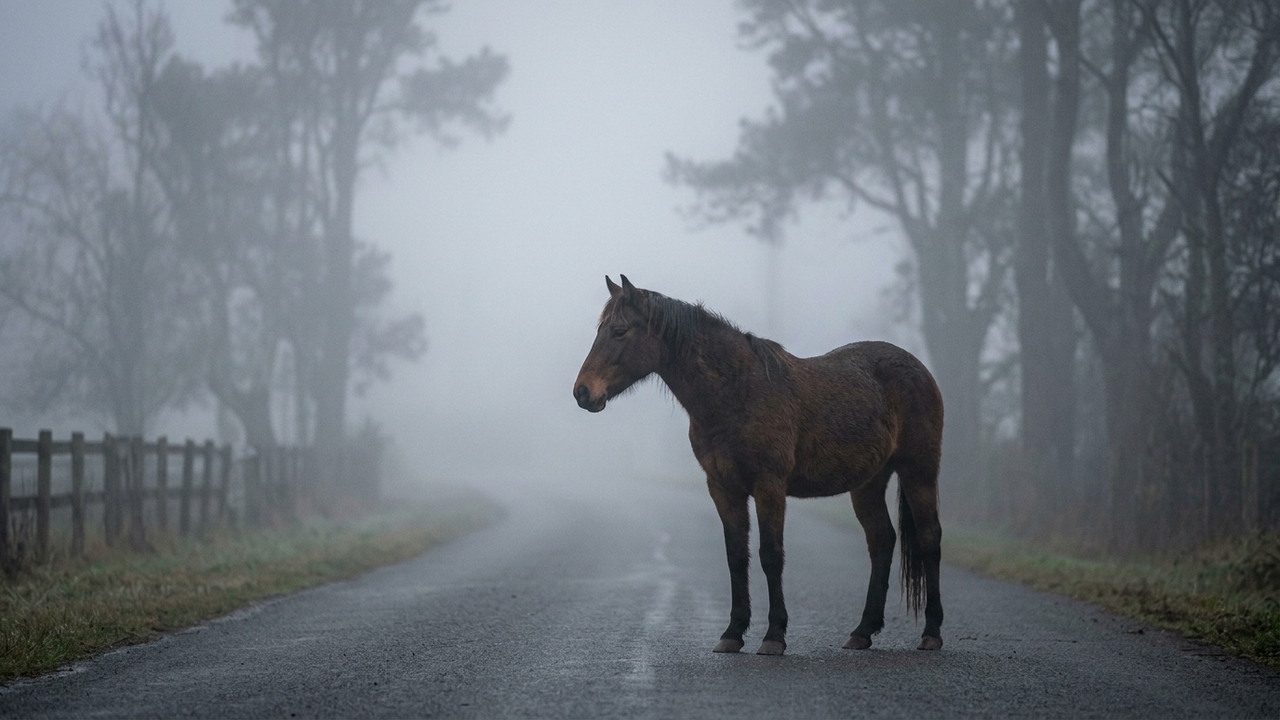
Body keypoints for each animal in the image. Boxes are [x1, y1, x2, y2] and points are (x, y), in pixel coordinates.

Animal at [573, 275, 945, 655]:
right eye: (600, 329)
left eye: (619, 331)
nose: (583, 392)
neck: (738, 392)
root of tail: (919, 368)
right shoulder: (723, 488)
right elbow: (737, 556)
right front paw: (733, 632)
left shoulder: (769, 485)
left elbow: (770, 555)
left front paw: (774, 635)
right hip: (868, 482)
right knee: (881, 541)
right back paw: (863, 631)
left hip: (918, 471)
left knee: (930, 537)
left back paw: (931, 631)